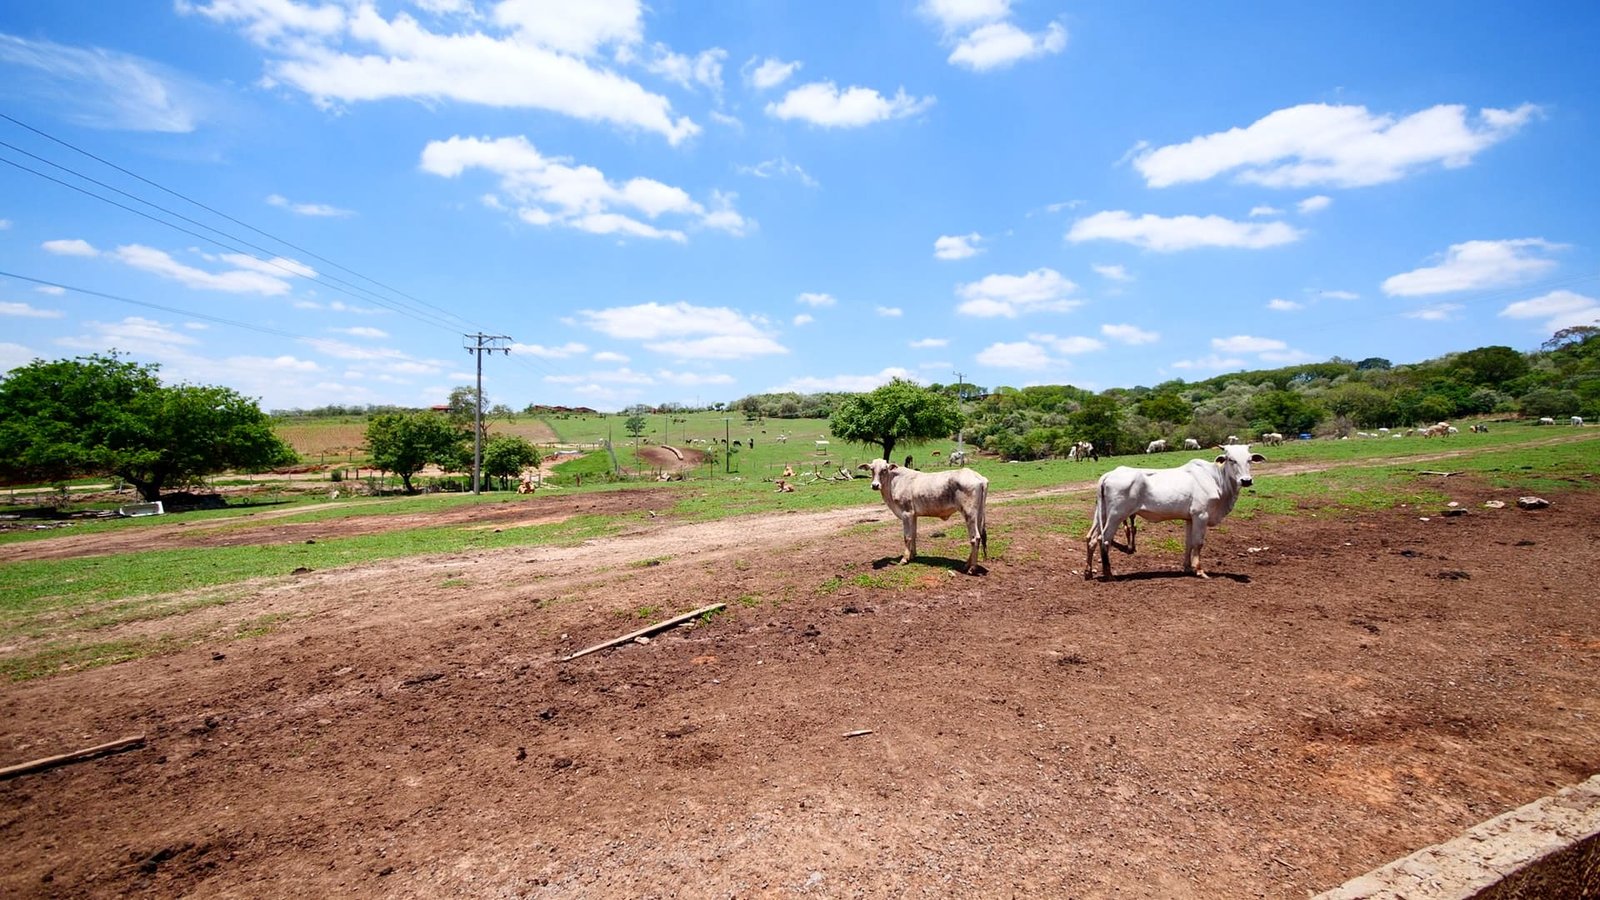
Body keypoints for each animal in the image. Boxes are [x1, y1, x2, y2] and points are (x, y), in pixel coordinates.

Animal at [858, 459, 988, 574]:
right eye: (871, 469)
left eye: (884, 469)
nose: (875, 485)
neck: (894, 482)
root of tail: (978, 477)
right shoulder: (914, 515)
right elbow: (914, 535)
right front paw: (912, 556)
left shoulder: (906, 513)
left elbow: (907, 536)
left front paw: (904, 559)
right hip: (978, 514)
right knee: (976, 537)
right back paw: (967, 564)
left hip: (969, 513)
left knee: (975, 538)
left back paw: (972, 568)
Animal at [1084, 444, 1265, 581]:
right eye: (1231, 459)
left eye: (1249, 459)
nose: (1246, 481)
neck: (1215, 479)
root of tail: (1108, 475)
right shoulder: (1201, 515)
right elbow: (1198, 543)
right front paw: (1200, 570)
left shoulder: (1190, 518)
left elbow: (1188, 543)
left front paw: (1187, 568)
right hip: (1116, 515)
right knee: (1103, 539)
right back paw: (1108, 574)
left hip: (1102, 514)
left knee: (1092, 539)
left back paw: (1088, 572)